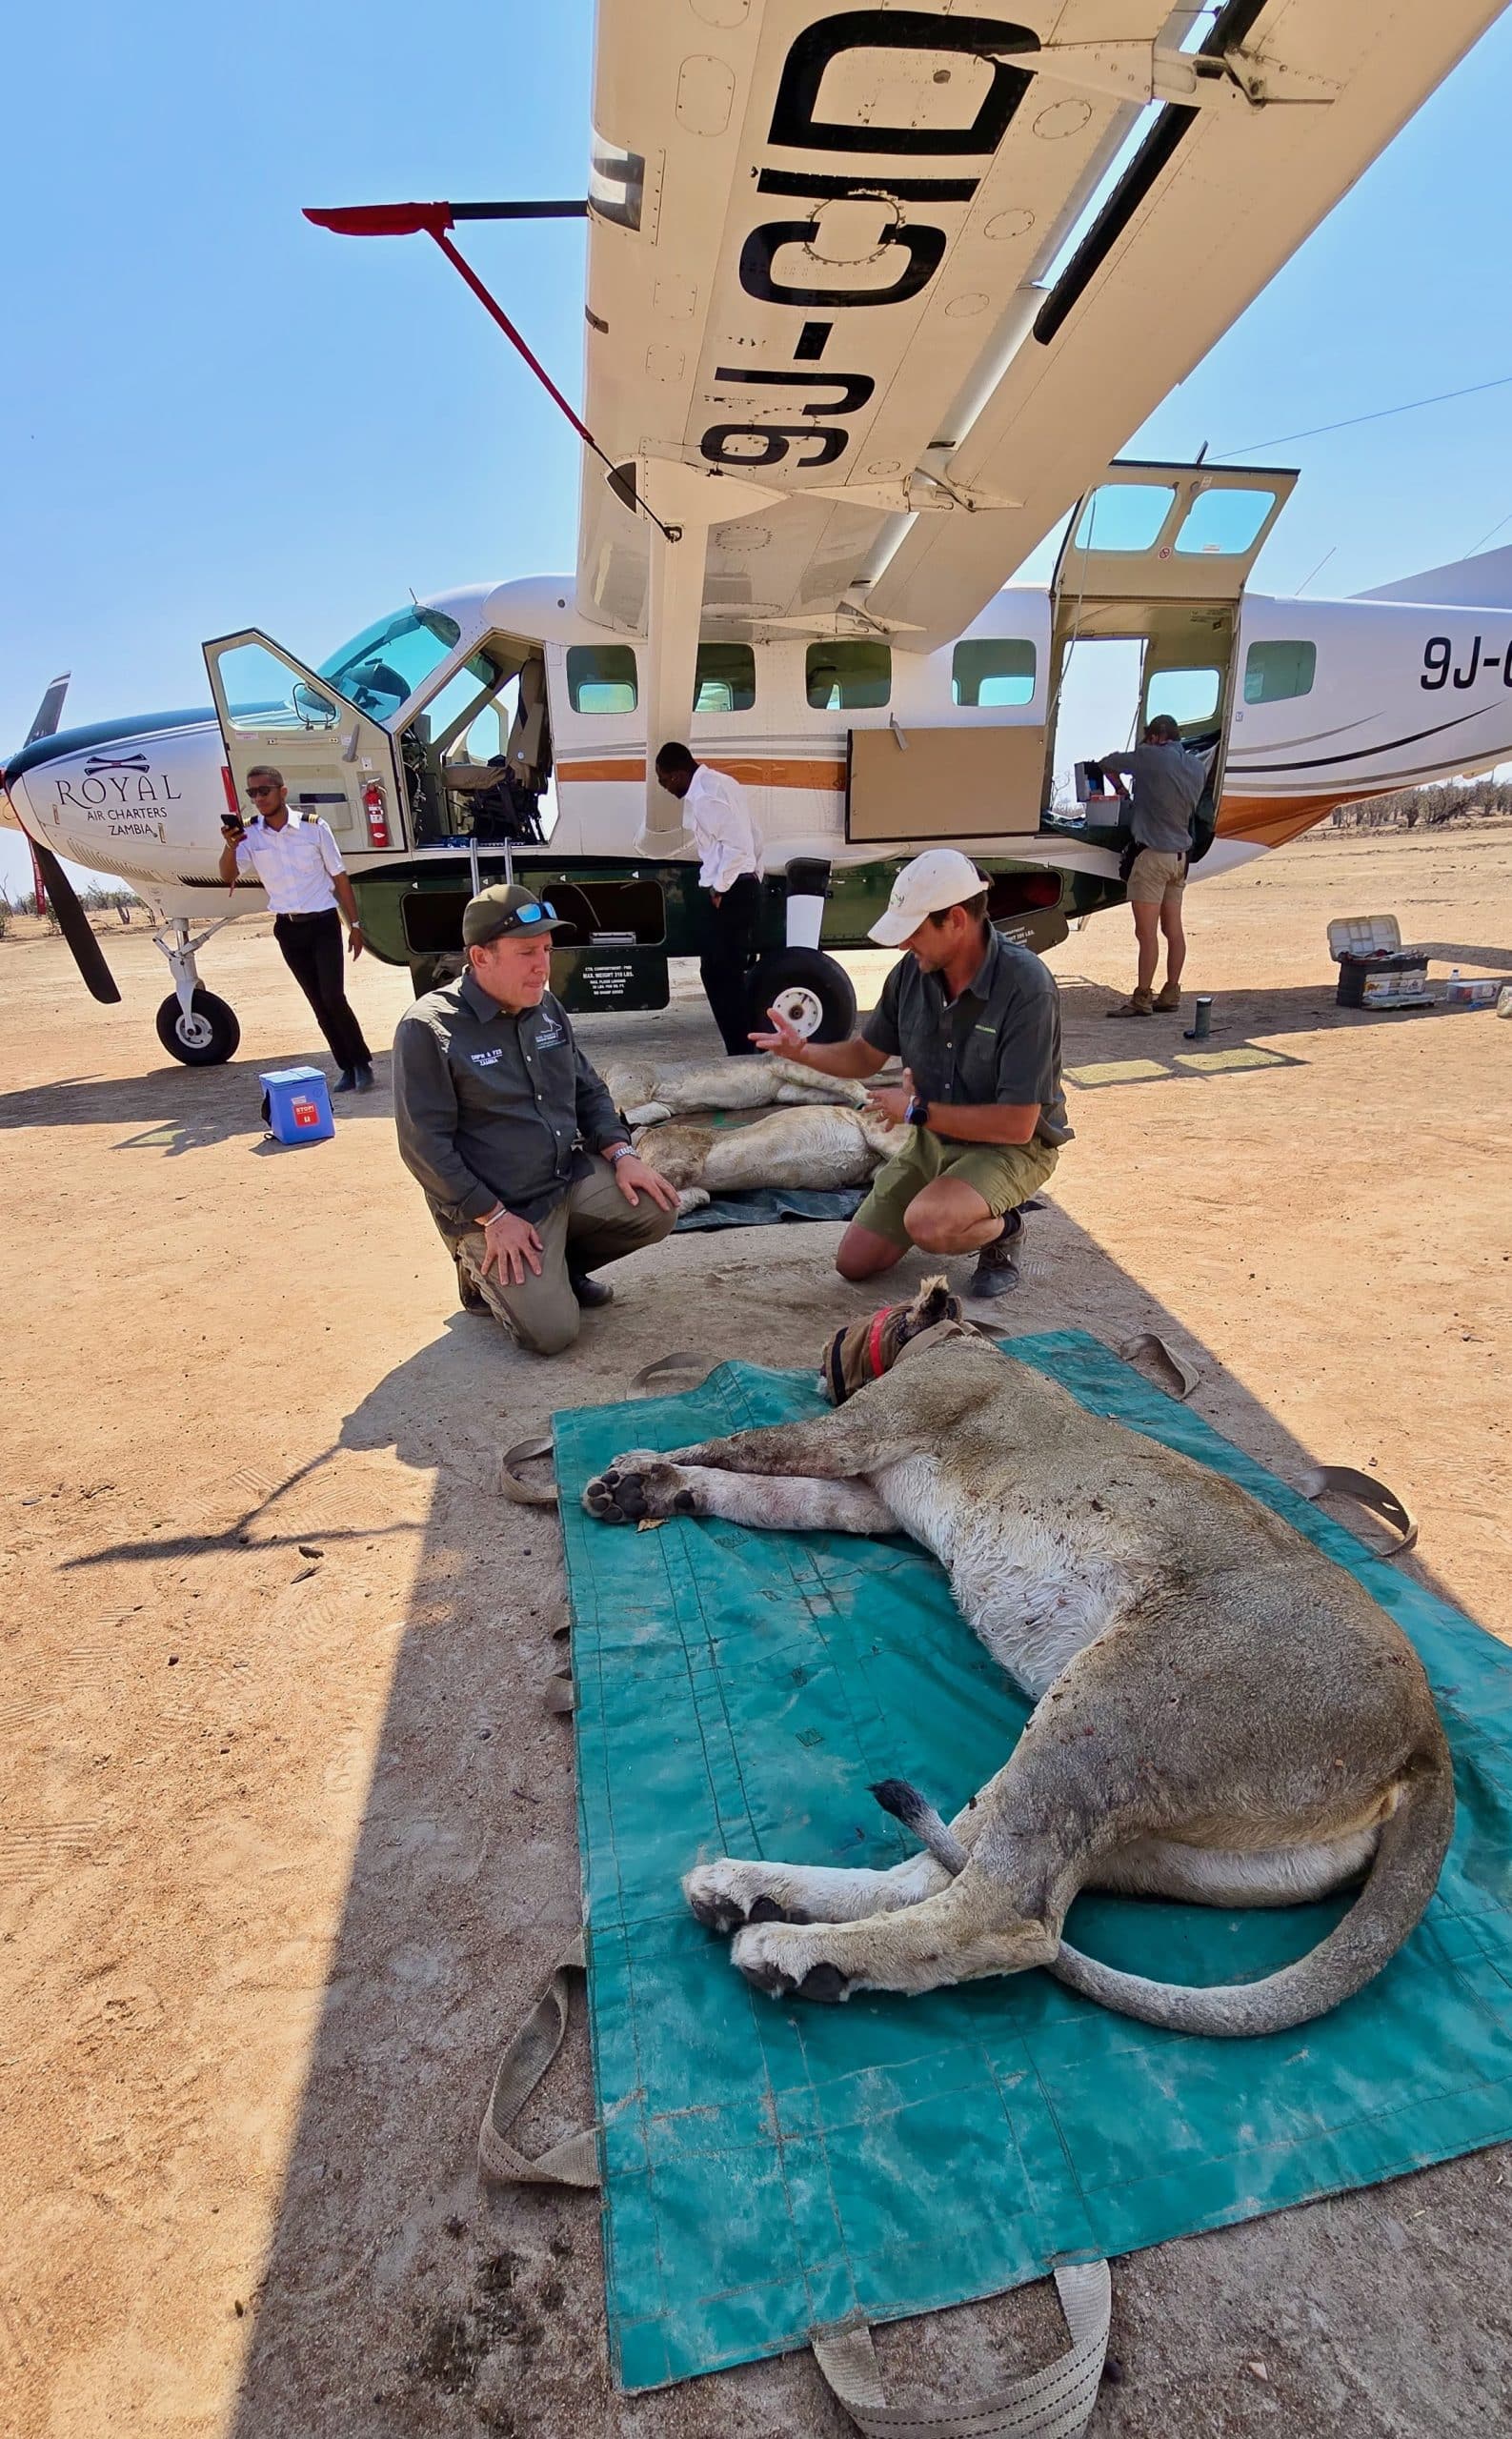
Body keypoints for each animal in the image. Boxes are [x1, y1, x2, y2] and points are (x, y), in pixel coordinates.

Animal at [582, 1287, 1453, 2028]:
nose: (816, 1360)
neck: (959, 1340)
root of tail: (1428, 1740)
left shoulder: (857, 1433)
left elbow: (740, 1443)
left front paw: (637, 1468)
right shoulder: (865, 1498)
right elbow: (756, 1494)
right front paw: (655, 1492)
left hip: (1111, 1710)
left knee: (1004, 1915)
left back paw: (793, 1952)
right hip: (1143, 1830)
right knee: (948, 1871)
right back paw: (750, 1891)